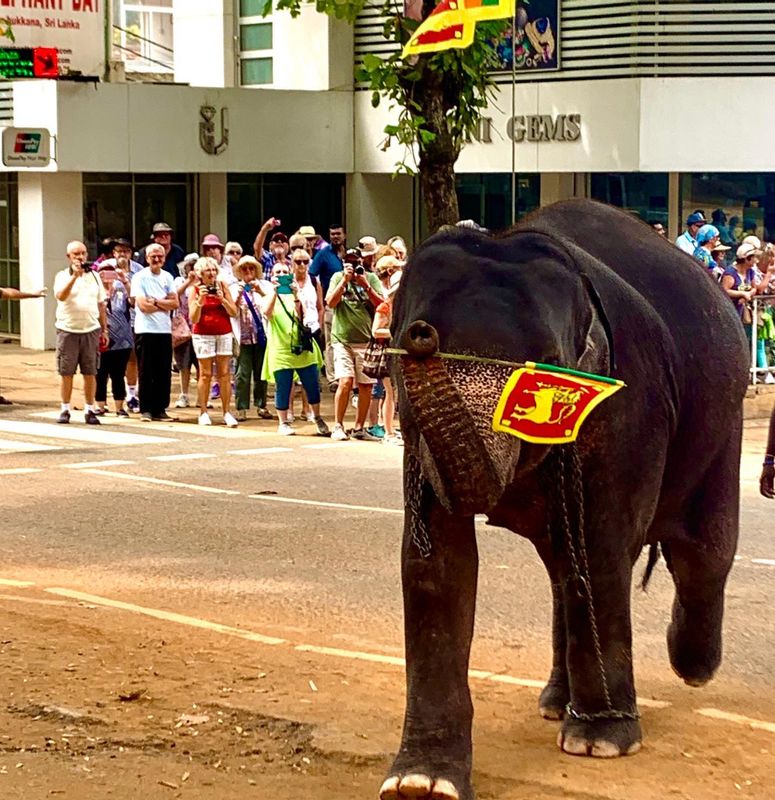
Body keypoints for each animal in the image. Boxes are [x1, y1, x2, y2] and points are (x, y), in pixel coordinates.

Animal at [382, 200, 752, 800]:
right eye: (401, 343)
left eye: (550, 363)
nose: (420, 334)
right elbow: (437, 561)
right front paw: (419, 783)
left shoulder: (628, 403)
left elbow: (601, 547)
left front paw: (601, 744)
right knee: (563, 566)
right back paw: (558, 704)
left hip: (726, 418)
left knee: (702, 552)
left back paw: (691, 667)